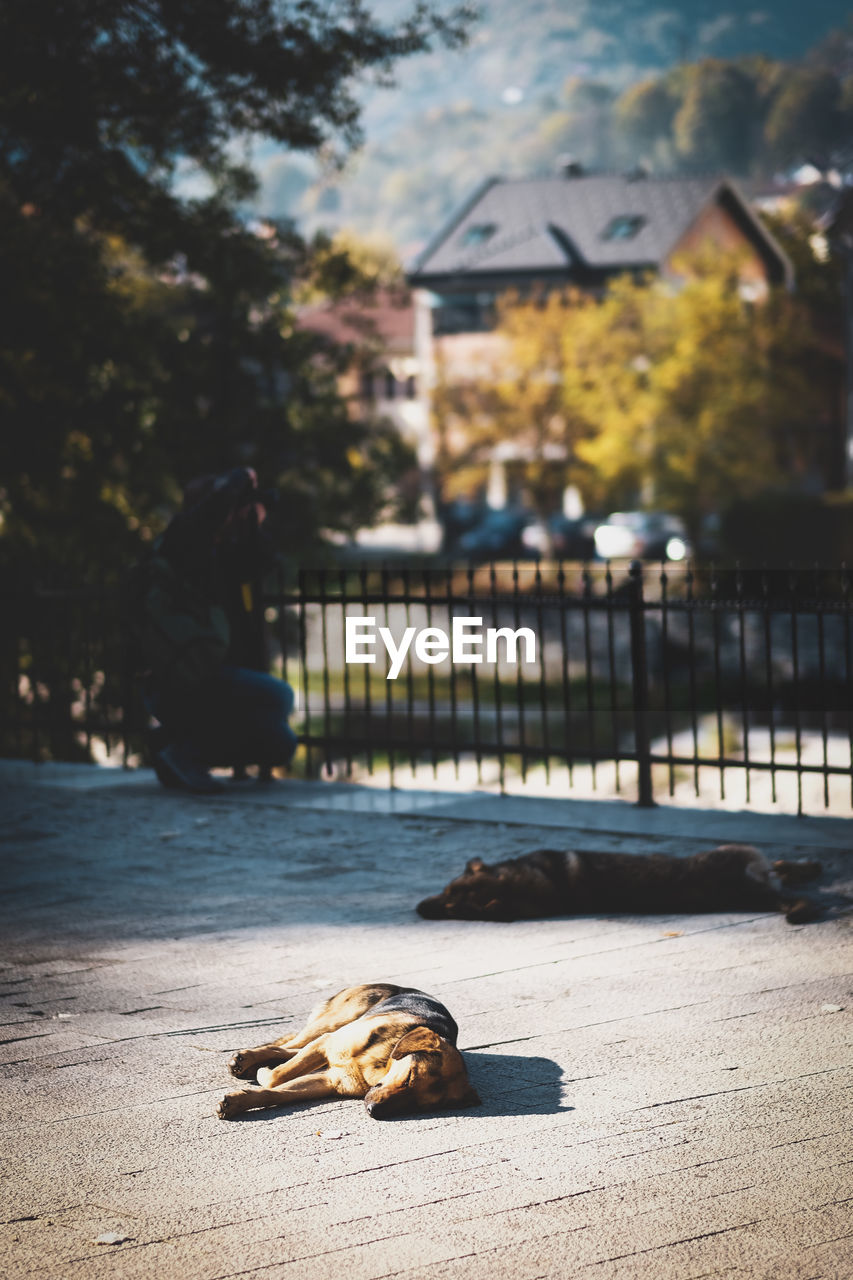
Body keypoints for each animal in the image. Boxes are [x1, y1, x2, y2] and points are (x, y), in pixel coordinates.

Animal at [216, 977, 479, 1121]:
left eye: (419, 1106)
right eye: (409, 1078)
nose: (373, 1111)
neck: (381, 1064)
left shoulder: (328, 1081)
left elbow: (276, 1091)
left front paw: (238, 1102)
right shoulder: (327, 1044)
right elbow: (276, 1078)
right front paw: (263, 1074)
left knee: (289, 1049)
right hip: (336, 1021)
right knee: (290, 1044)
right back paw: (248, 1059)